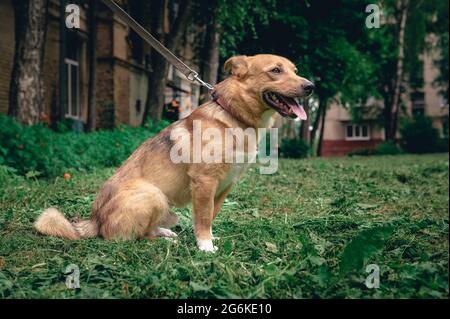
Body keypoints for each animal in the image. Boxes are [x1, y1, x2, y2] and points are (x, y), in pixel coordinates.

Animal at [35, 55, 312, 255]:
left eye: (295, 70)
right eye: (275, 70)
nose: (311, 86)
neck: (233, 116)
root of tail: (94, 220)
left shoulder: (224, 187)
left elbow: (210, 215)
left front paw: (208, 238)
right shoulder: (204, 182)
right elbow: (203, 218)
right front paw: (205, 246)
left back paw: (165, 233)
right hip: (153, 195)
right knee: (130, 238)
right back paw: (164, 241)